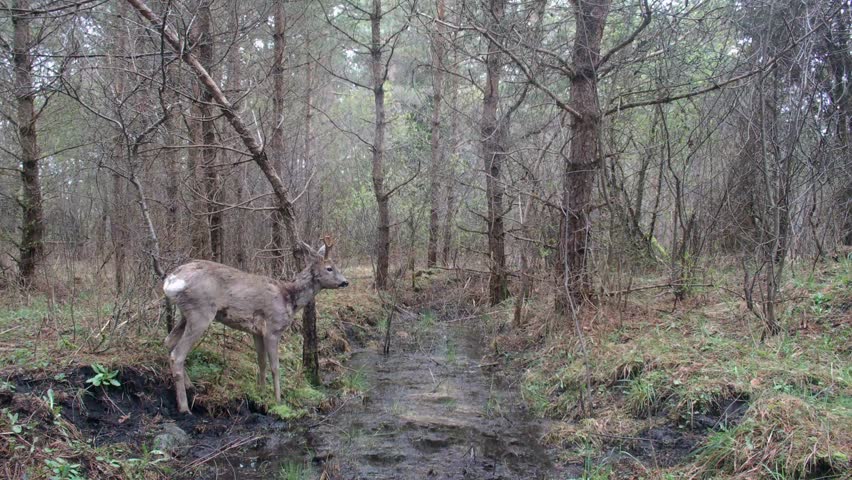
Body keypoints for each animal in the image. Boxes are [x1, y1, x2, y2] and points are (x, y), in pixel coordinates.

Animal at [162, 236, 348, 413]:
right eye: (329, 268)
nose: (345, 282)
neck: (289, 298)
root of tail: (172, 280)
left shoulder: (256, 331)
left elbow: (261, 362)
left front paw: (261, 394)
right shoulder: (273, 328)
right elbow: (275, 366)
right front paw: (278, 400)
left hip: (185, 314)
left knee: (169, 342)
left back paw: (190, 386)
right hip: (201, 311)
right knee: (178, 354)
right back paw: (184, 407)